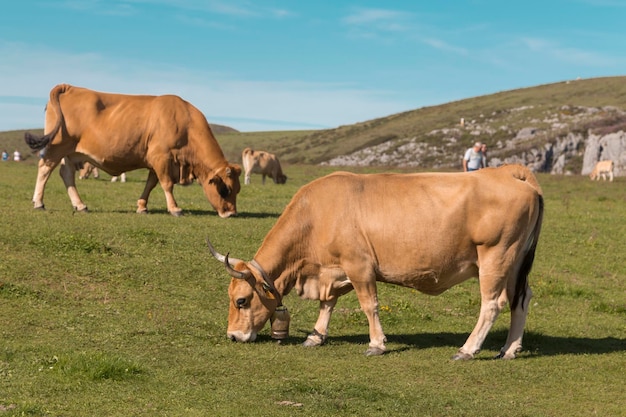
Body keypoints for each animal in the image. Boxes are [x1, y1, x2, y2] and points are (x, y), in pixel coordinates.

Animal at [24, 83, 239, 216]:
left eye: (237, 189)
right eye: (225, 189)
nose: (231, 213)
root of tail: (69, 87)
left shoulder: (155, 161)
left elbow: (151, 184)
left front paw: (142, 207)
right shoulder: (161, 157)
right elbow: (167, 184)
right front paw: (175, 209)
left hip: (70, 152)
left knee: (66, 174)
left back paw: (80, 205)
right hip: (57, 147)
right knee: (45, 169)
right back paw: (39, 203)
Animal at [208, 164, 540, 360]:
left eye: (241, 300)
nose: (233, 336)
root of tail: (508, 171)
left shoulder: (359, 266)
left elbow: (369, 305)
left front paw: (376, 344)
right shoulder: (332, 269)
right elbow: (327, 304)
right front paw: (316, 336)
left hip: (496, 256)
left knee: (492, 304)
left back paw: (468, 349)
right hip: (515, 263)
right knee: (521, 300)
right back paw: (509, 348)